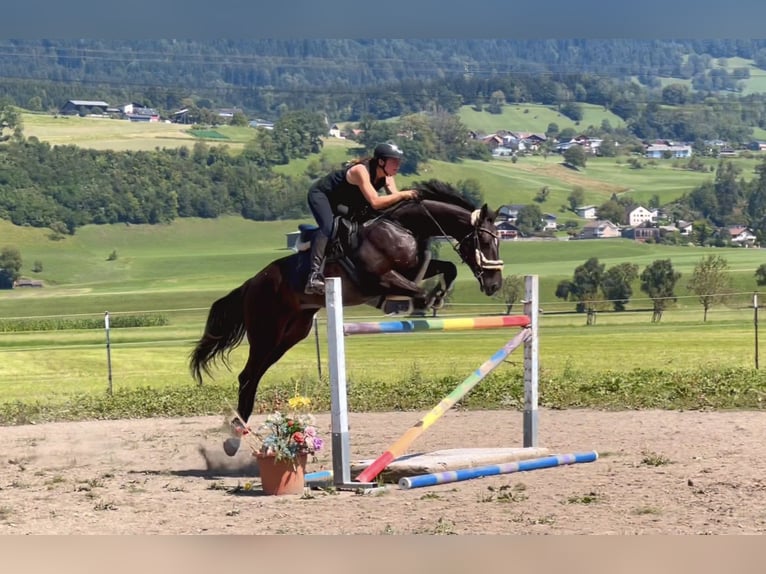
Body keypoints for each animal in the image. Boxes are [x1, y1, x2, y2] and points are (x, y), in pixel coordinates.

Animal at [190, 179, 508, 454]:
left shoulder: (413, 268)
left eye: (499, 241)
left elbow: (448, 268)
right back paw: (234, 438)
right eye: (483, 241)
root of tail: (252, 283)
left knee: (255, 375)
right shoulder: (380, 278)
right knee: (247, 376)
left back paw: (236, 434)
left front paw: (438, 295)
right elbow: (415, 288)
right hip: (266, 332)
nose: (494, 285)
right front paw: (421, 300)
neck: (403, 227)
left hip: (291, 334)